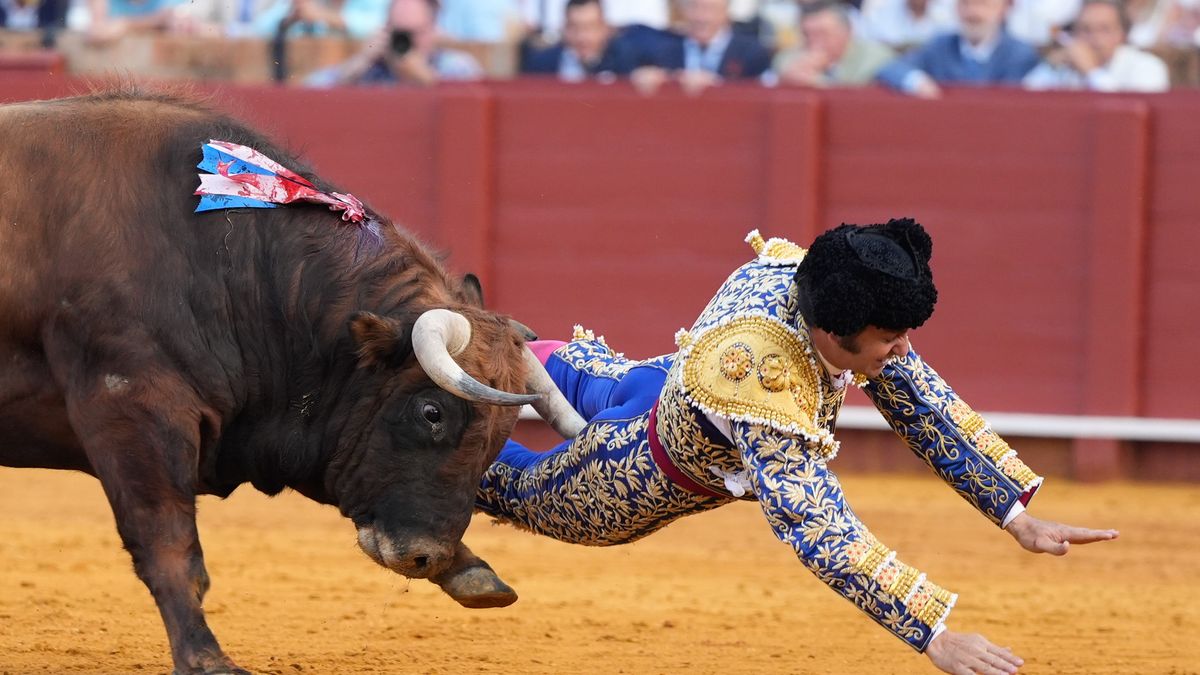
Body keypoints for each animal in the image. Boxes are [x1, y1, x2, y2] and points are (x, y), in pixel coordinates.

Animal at [0, 89, 583, 674]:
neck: (221, 260)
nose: (426, 556)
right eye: (431, 412)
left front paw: (470, 569)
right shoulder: (130, 408)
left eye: (500, 436)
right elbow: (168, 543)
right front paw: (205, 658)